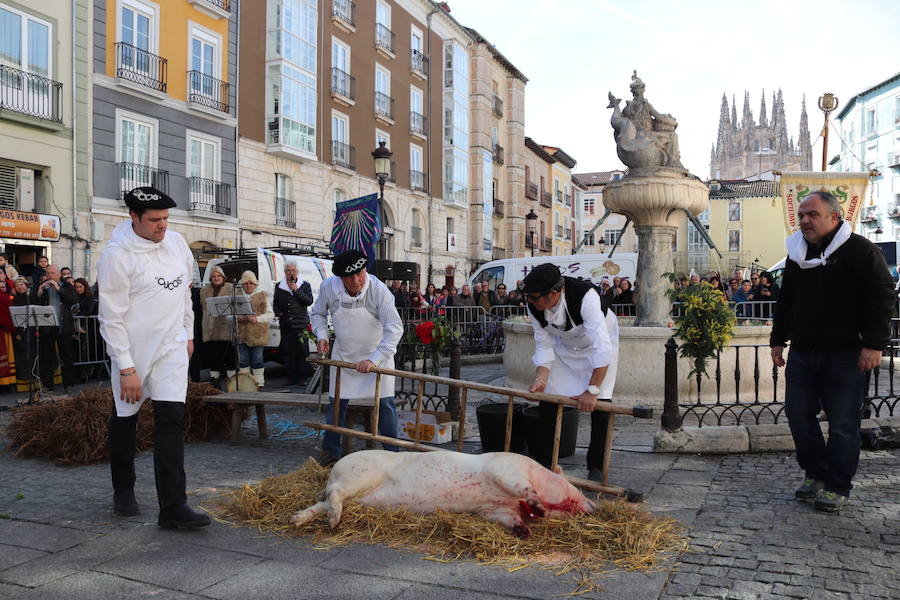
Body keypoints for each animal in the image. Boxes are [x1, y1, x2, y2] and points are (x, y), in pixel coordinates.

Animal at [292, 448, 596, 536]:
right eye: (578, 488)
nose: (596, 506)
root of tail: (334, 470)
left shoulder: (494, 510)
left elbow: (508, 519)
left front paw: (525, 531)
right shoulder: (507, 467)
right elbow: (522, 486)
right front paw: (539, 510)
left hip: (351, 489)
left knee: (323, 502)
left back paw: (296, 520)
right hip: (357, 476)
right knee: (335, 494)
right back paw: (333, 523)